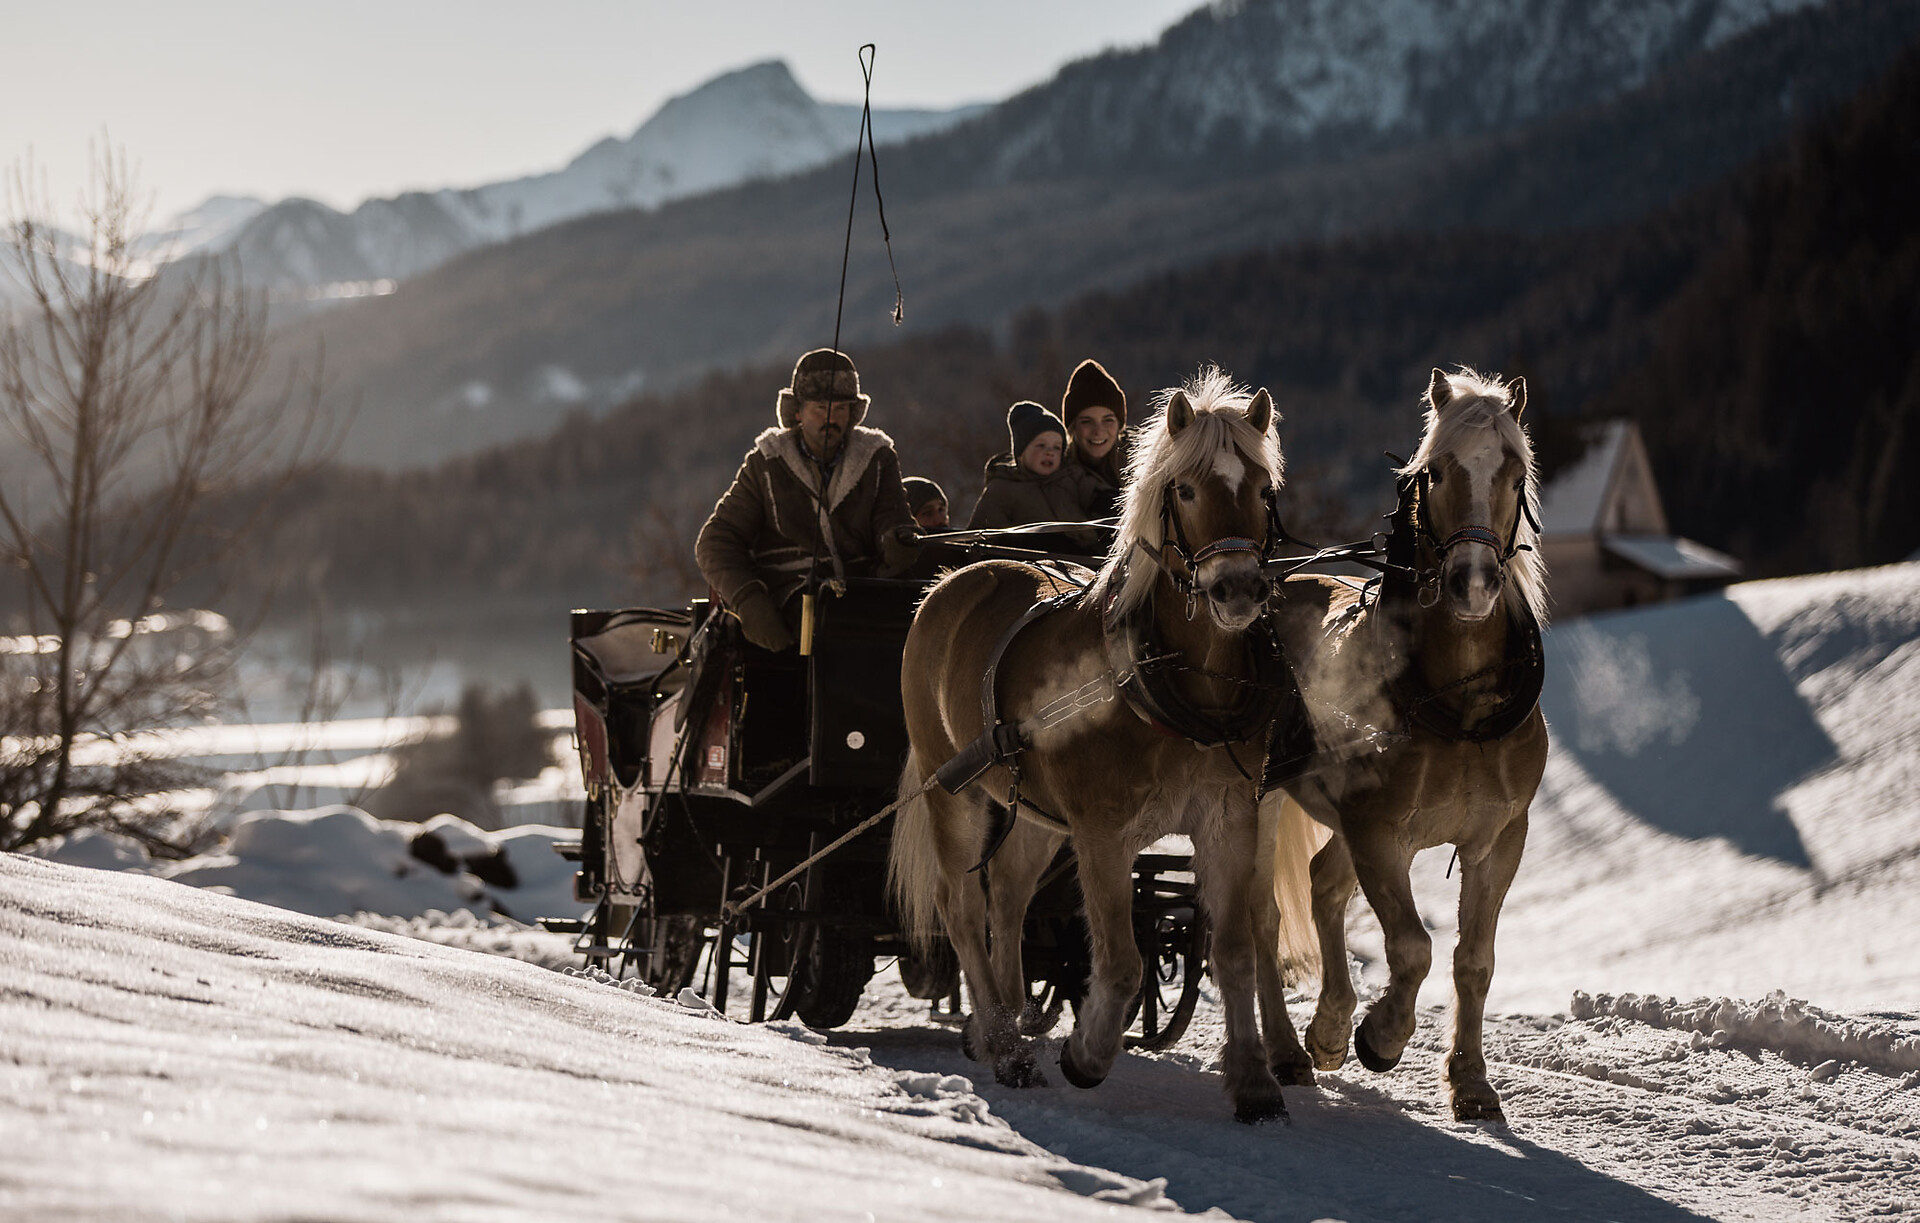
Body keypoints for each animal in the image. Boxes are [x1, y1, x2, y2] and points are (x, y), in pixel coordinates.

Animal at [888, 368, 1317, 1123]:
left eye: (1263, 488)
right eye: (1185, 489)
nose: (1237, 589)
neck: (1167, 682)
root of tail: (953, 580)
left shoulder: (1229, 817)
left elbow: (1236, 947)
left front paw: (1254, 1083)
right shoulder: (1102, 832)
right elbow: (1119, 962)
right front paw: (1086, 1055)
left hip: (1032, 813)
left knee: (1007, 898)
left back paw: (1008, 1020)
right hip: (956, 791)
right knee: (963, 907)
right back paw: (1007, 1047)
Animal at [1263, 367, 1549, 1122]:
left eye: (1514, 472)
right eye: (1436, 471)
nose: (1474, 583)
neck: (1460, 704)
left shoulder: (1499, 838)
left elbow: (1473, 959)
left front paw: (1471, 1082)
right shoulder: (1380, 830)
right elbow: (1413, 947)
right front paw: (1382, 1036)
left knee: (1324, 885)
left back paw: (1328, 1027)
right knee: (1260, 915)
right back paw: (1291, 1051)